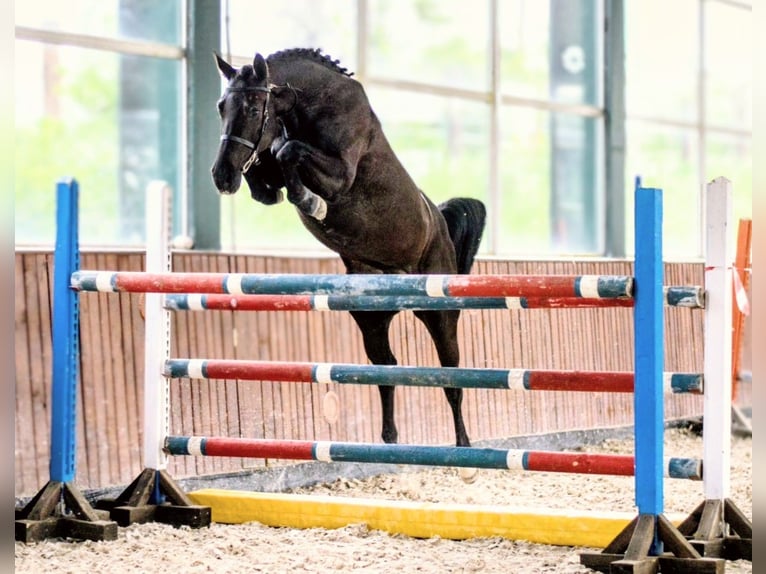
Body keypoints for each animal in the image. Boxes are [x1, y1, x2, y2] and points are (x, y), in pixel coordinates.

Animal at [211, 48, 486, 448]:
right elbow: (272, 163)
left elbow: (289, 152)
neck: (310, 105)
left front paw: (312, 203)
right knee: (387, 369)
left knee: (452, 378)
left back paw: (463, 447)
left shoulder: (340, 176)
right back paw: (388, 440)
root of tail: (441, 227)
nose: (221, 177)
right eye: (221, 106)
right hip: (370, 318)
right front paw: (279, 186)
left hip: (439, 313)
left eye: (251, 107)